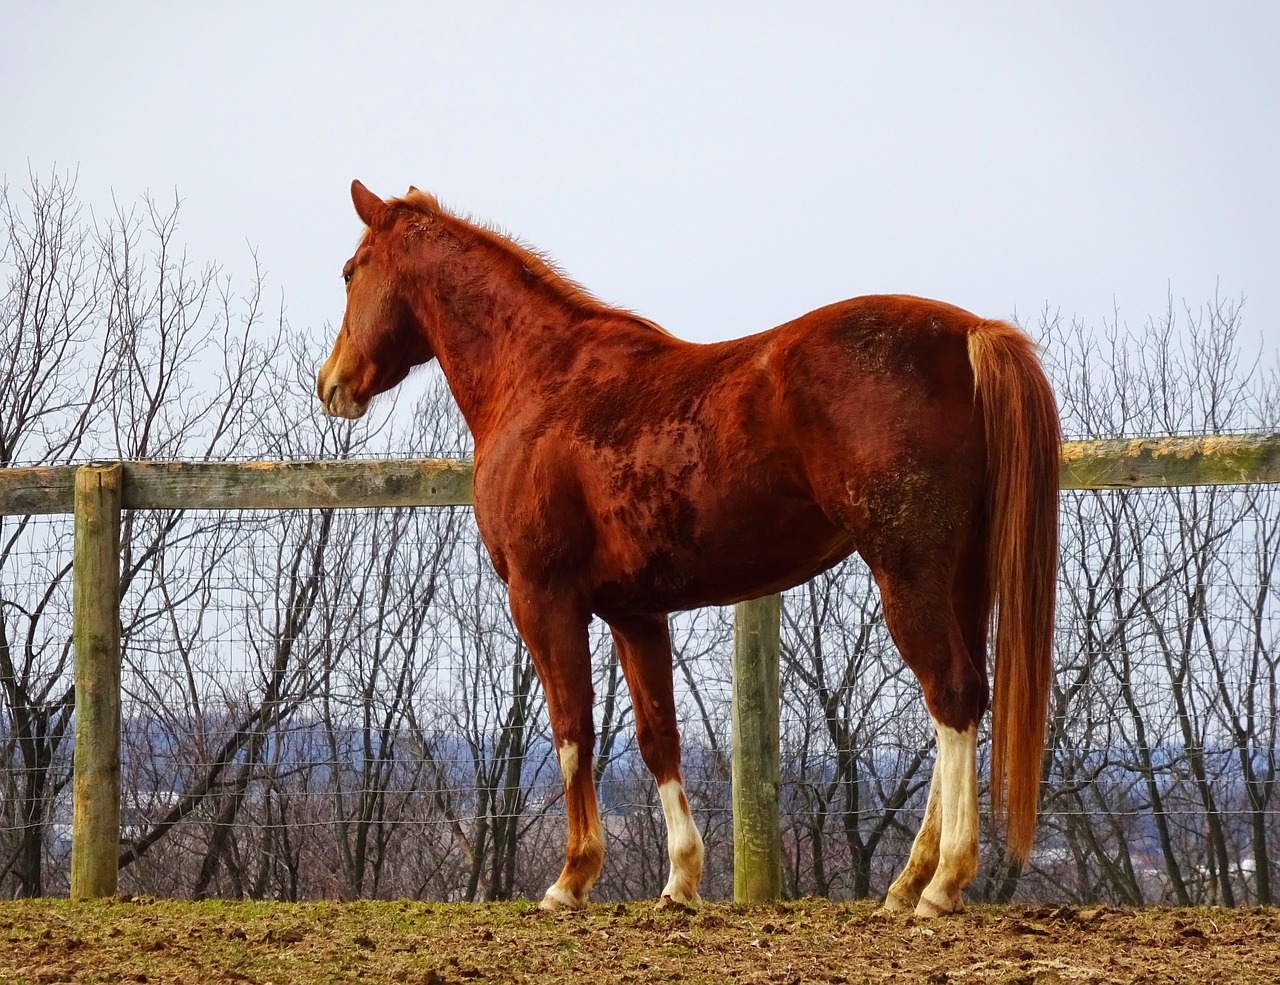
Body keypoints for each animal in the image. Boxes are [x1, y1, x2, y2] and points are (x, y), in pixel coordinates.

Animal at [320, 179, 1059, 910]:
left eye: (351, 270)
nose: (332, 384)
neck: (538, 378)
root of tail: (970, 333)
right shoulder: (634, 612)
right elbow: (658, 737)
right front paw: (679, 880)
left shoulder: (541, 596)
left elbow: (572, 730)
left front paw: (571, 877)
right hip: (962, 576)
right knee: (962, 698)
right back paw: (909, 883)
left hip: (907, 569)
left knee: (951, 693)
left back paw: (943, 882)